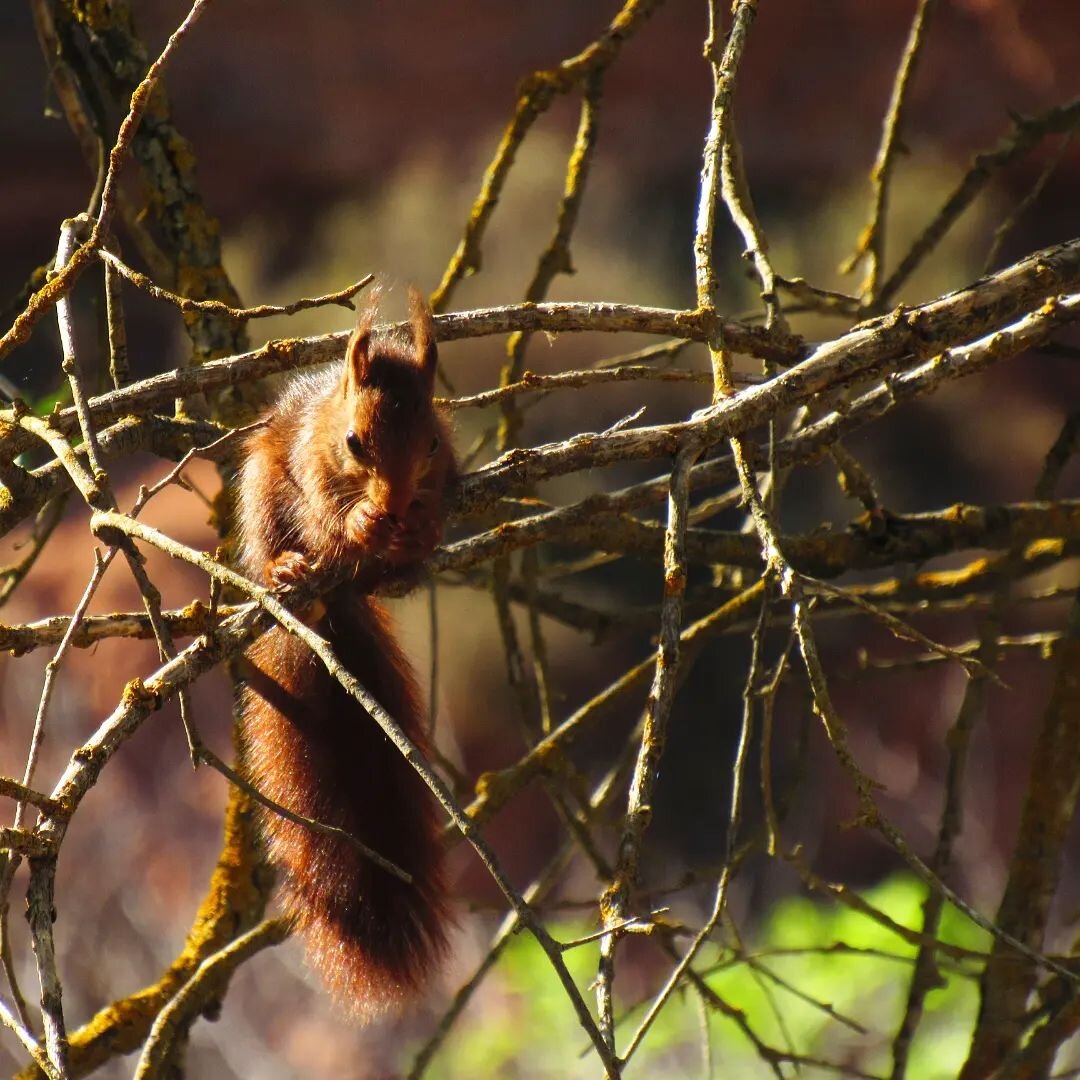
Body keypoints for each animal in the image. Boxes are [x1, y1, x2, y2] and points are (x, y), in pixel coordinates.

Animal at [236, 287, 455, 1019]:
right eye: (355, 441)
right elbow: (325, 514)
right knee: (276, 539)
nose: (394, 503)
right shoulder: (307, 463)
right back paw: (288, 570)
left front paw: (420, 528)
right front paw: (359, 521)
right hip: (258, 487)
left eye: (433, 442)